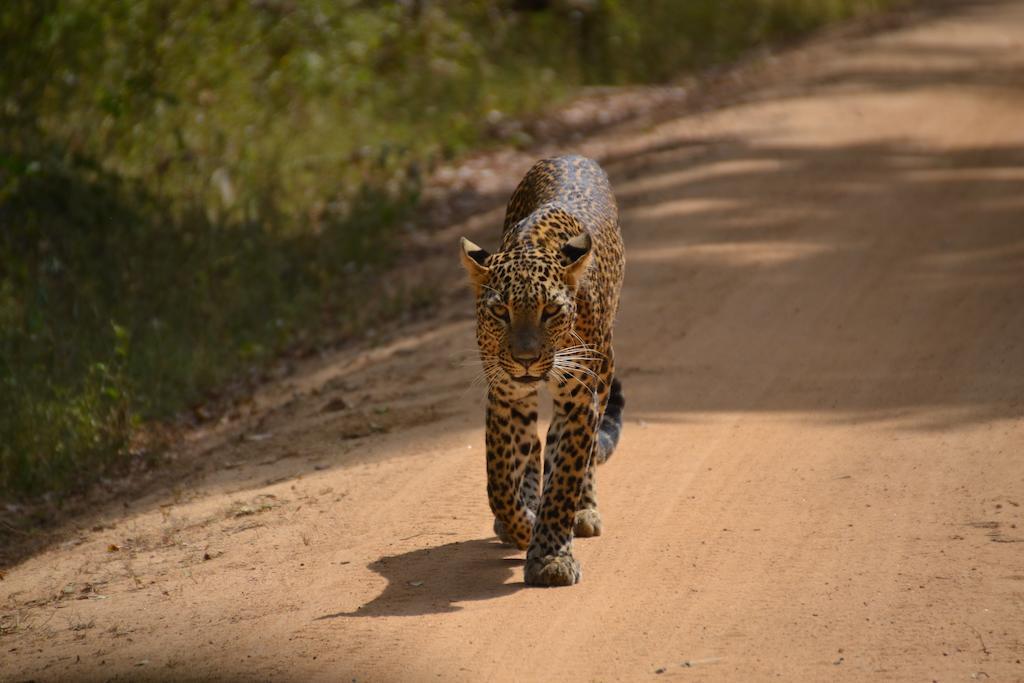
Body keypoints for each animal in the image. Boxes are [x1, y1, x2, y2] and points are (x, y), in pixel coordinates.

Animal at [458, 154, 622, 589]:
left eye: (550, 311)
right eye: (501, 311)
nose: (526, 359)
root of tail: (570, 155)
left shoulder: (580, 396)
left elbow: (565, 475)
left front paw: (550, 556)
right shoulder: (506, 394)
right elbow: (500, 478)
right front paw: (521, 526)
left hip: (604, 368)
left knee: (576, 448)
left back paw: (583, 510)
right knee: (533, 446)